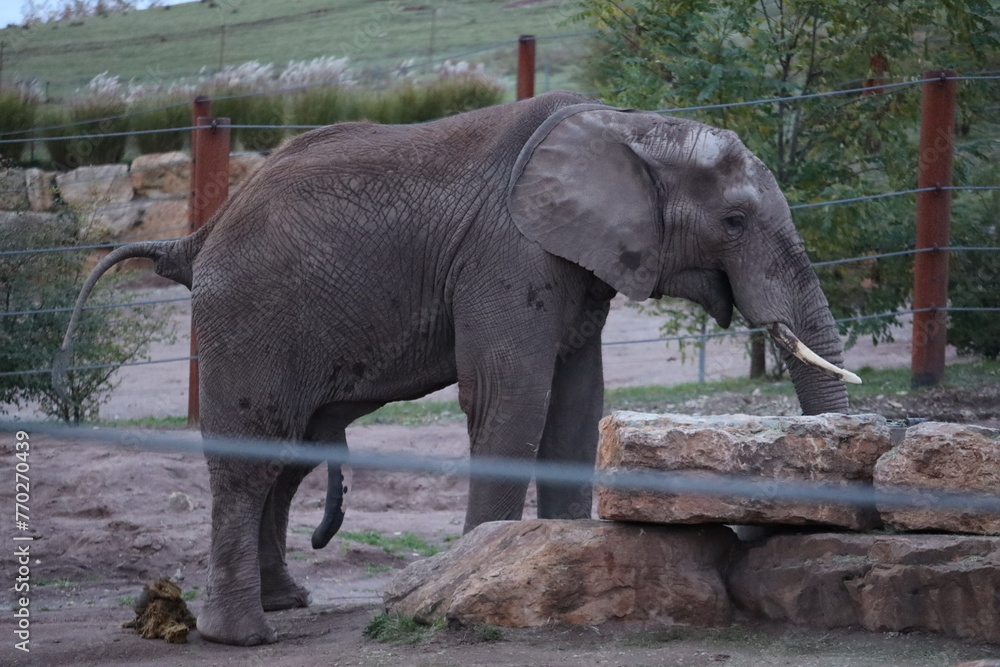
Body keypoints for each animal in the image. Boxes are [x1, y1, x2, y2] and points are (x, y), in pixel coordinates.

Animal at [57, 90, 859, 646]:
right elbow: (512, 400)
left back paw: (286, 602)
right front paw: (467, 585)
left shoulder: (576, 266)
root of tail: (198, 236)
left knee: (286, 456)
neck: (629, 126)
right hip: (248, 316)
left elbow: (576, 406)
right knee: (250, 459)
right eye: (734, 221)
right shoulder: (509, 254)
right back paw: (245, 637)